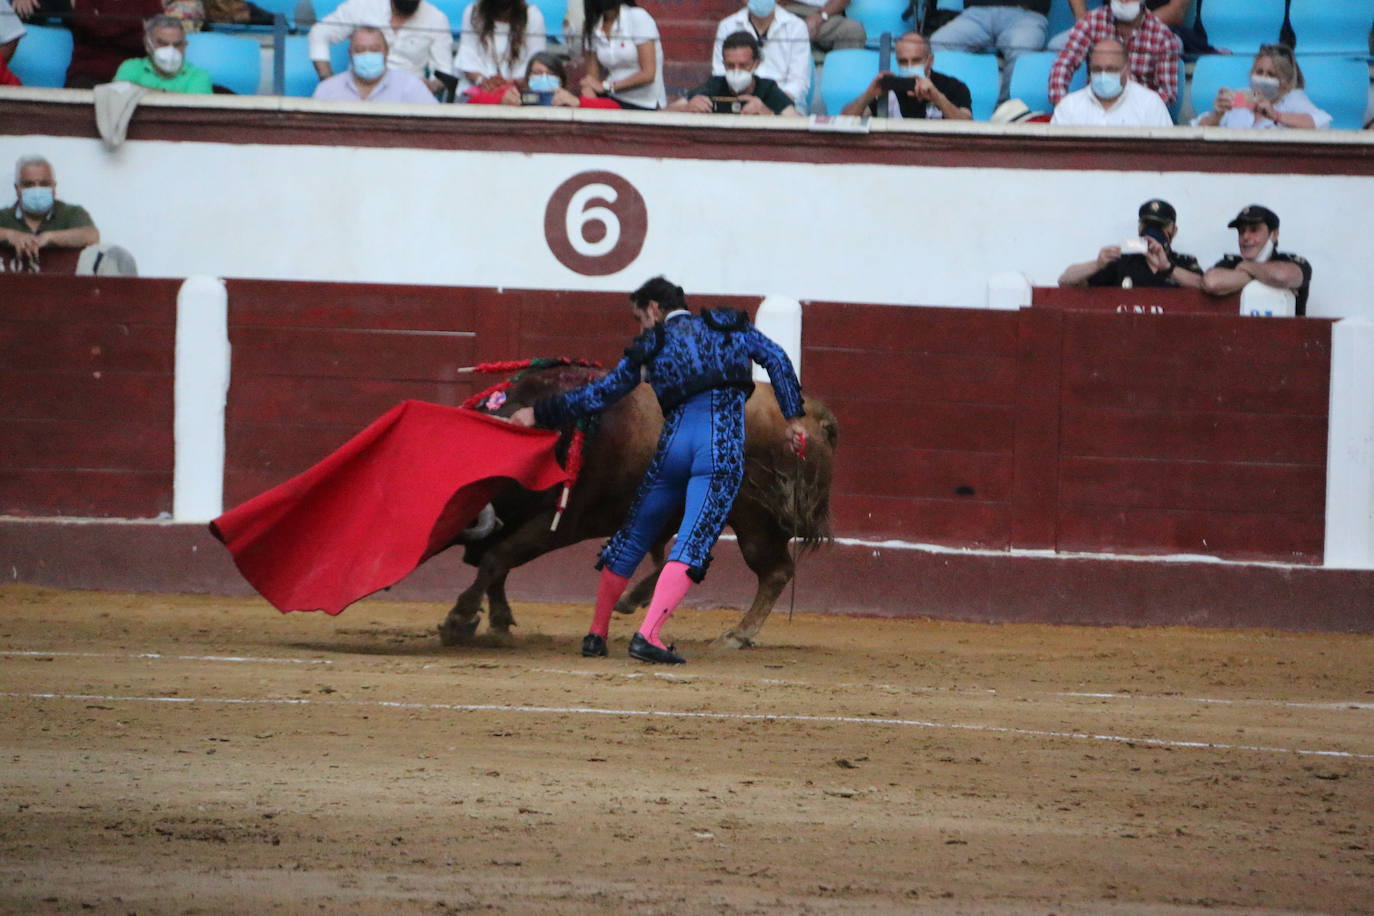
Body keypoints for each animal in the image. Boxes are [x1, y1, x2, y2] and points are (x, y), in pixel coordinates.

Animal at [439, 365, 835, 650]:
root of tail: (810, 414)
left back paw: (737, 635)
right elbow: (497, 563)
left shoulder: (559, 523)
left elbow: (497, 558)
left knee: (775, 571)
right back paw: (632, 599)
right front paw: (498, 621)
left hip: (757, 521)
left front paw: (459, 620)